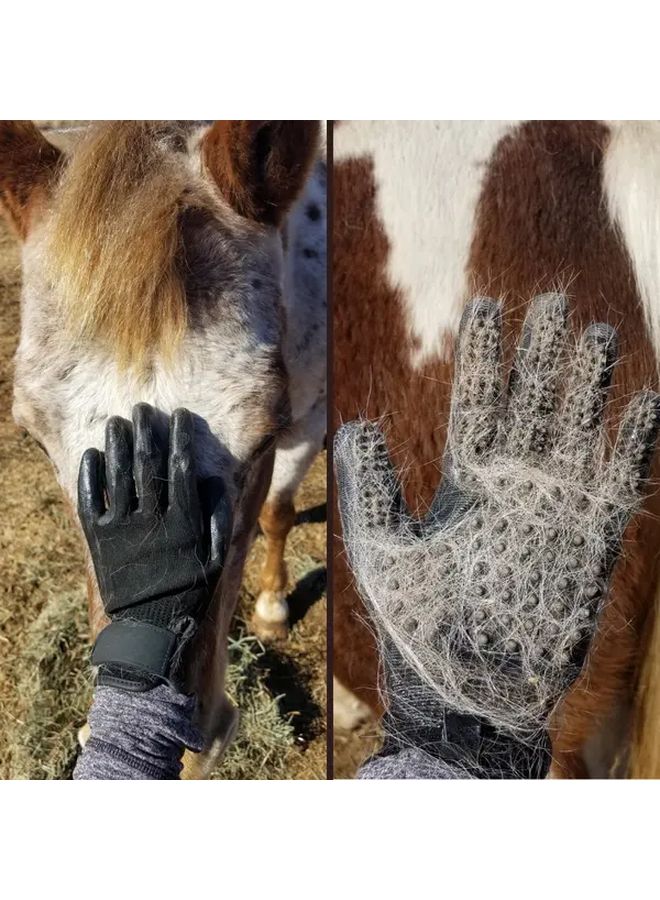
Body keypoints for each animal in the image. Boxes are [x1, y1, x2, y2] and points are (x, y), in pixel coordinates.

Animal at [0, 120, 326, 778]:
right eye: (36, 440)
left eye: (267, 433)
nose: (189, 755)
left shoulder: (314, 415)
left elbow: (278, 512)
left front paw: (273, 609)